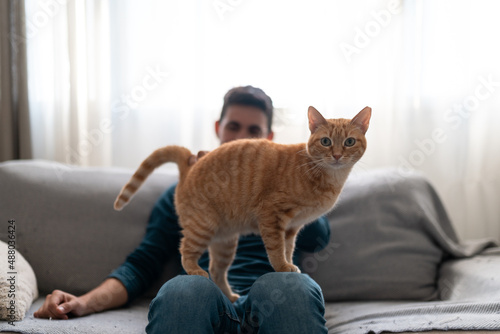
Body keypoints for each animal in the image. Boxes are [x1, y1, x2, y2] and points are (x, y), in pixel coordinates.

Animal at [115, 105, 370, 302]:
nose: (337, 155)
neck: (325, 176)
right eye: (326, 141)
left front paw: (289, 264)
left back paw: (228, 296)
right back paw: (195, 270)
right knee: (186, 250)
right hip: (202, 226)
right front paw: (282, 267)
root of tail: (189, 165)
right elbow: (276, 249)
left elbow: (288, 249)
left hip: (225, 242)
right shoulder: (272, 214)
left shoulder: (292, 228)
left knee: (217, 271)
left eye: (349, 142)